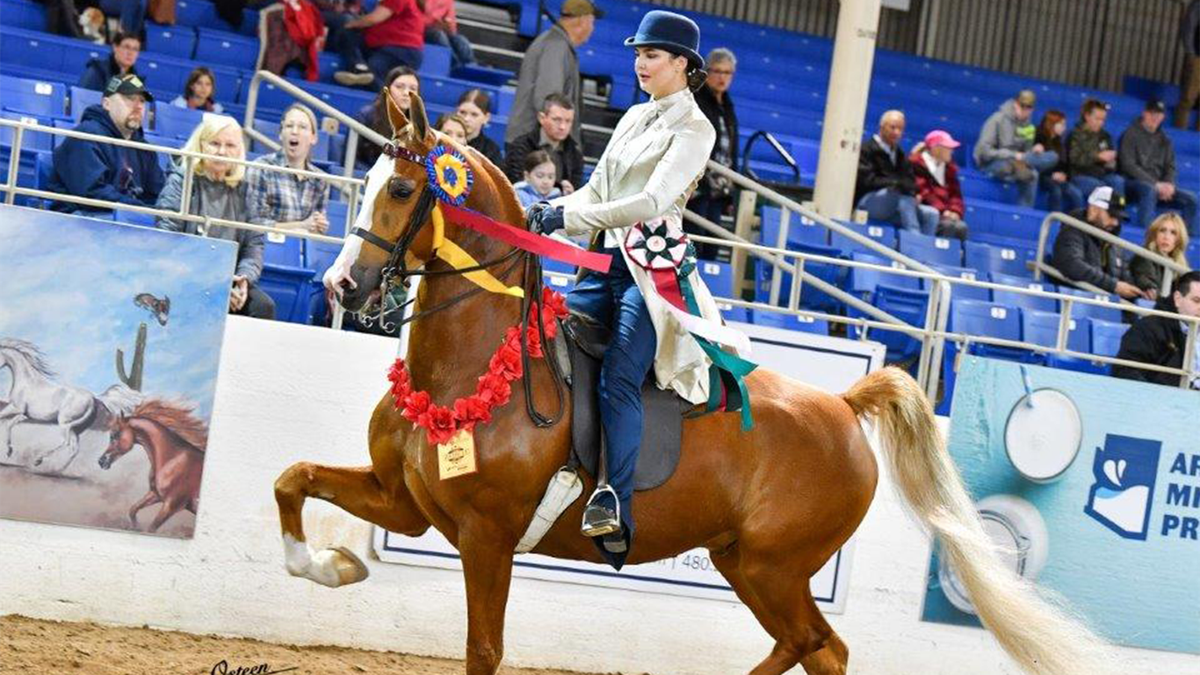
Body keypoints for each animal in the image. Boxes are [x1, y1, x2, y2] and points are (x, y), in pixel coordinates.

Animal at [0, 338, 142, 470]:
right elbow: (8, 423)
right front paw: (9, 451)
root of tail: (93, 398)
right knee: (74, 448)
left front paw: (8, 451)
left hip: (64, 423)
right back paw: (59, 470)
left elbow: (5, 421)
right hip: (76, 428)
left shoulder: (16, 408)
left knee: (66, 442)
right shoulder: (23, 414)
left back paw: (39, 460)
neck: (28, 381)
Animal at [103, 398, 208, 530]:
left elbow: (151, 528)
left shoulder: (171, 506)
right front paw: (135, 527)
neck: (173, 460)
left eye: (116, 434)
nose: (101, 461)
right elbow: (133, 510)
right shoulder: (155, 495)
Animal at [272, 93, 1104, 672]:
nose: (342, 285)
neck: (475, 364)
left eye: (401, 191)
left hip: (774, 566)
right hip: (747, 562)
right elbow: (293, 479)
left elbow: (483, 650)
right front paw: (331, 564)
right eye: (365, 179)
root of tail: (841, 406)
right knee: (812, 647)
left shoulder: (486, 535)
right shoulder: (406, 501)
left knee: (820, 647)